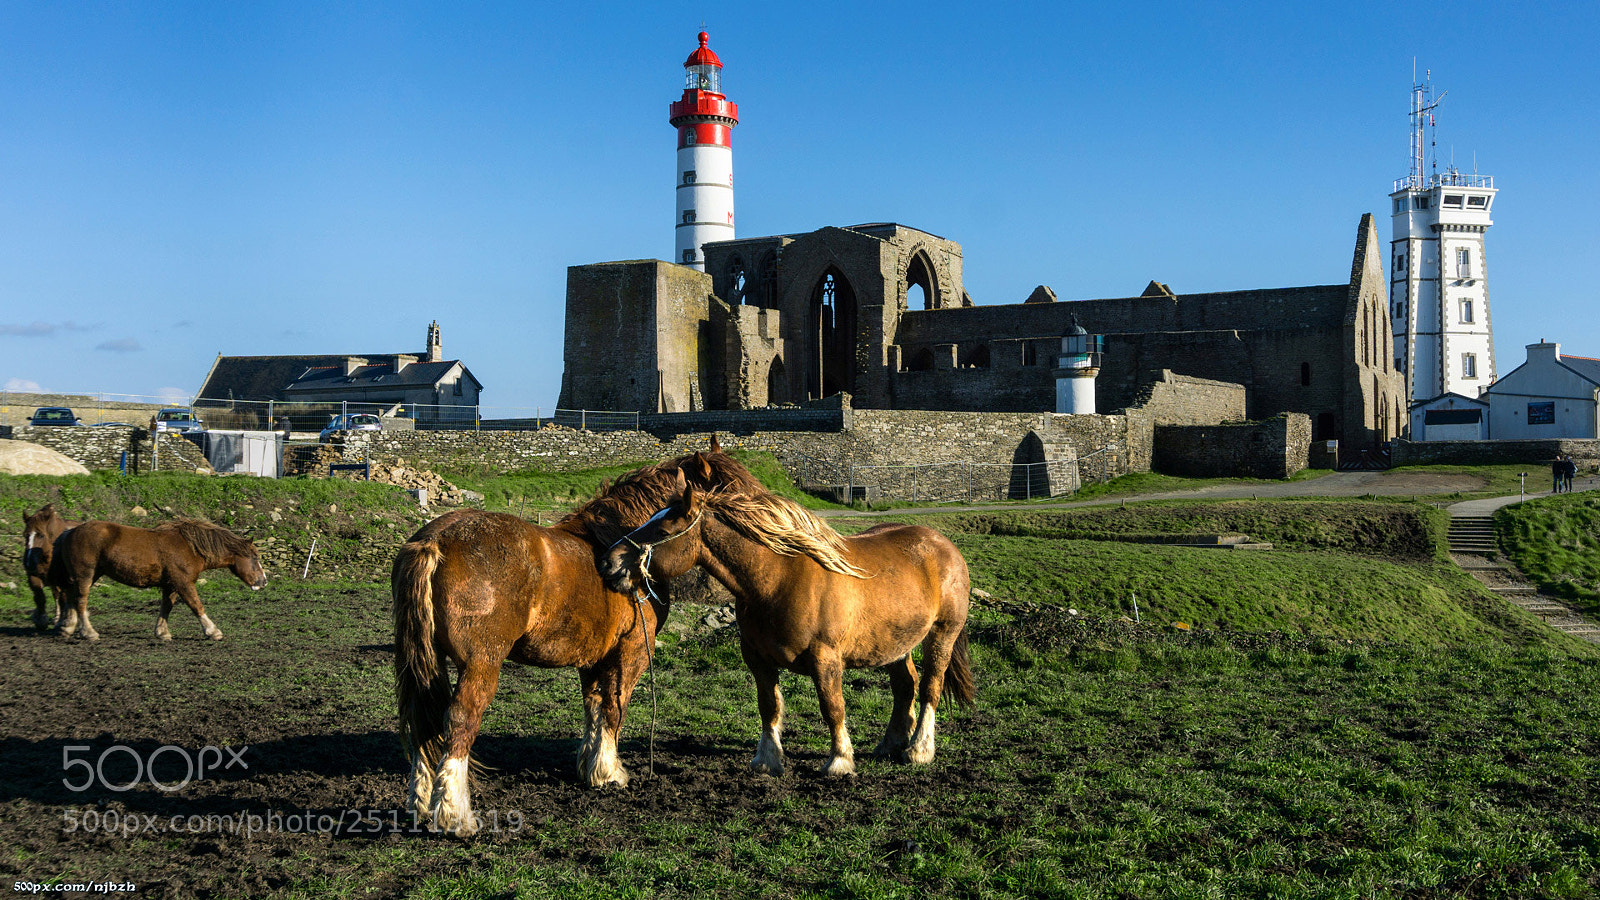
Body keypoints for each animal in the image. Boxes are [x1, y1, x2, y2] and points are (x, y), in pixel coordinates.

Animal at [49, 519, 268, 642]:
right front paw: (212, 631)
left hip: (87, 576)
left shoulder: (170, 585)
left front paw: (162, 633)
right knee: (80, 601)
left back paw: (67, 628)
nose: (264, 581)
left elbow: (166, 607)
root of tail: (70, 532)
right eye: (254, 557)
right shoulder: (183, 583)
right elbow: (196, 605)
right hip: (85, 575)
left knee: (71, 598)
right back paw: (88, 632)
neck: (190, 548)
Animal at [393, 439, 764, 835]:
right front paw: (611, 772)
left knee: (422, 721)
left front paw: (593, 770)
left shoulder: (593, 657)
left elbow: (594, 707)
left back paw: (421, 805)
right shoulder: (631, 651)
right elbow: (616, 707)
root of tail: (434, 541)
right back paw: (454, 815)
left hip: (424, 661)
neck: (612, 548)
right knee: (461, 721)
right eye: (732, 490)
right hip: (481, 664)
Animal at [599, 478, 975, 779]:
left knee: (930, 686)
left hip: (942, 633)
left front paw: (840, 760)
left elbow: (832, 707)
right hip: (895, 643)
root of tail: (943, 545)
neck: (778, 580)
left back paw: (919, 749)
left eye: (662, 532)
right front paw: (767, 760)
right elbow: (769, 706)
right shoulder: (757, 658)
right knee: (905, 686)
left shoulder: (825, 659)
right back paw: (892, 743)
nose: (608, 562)